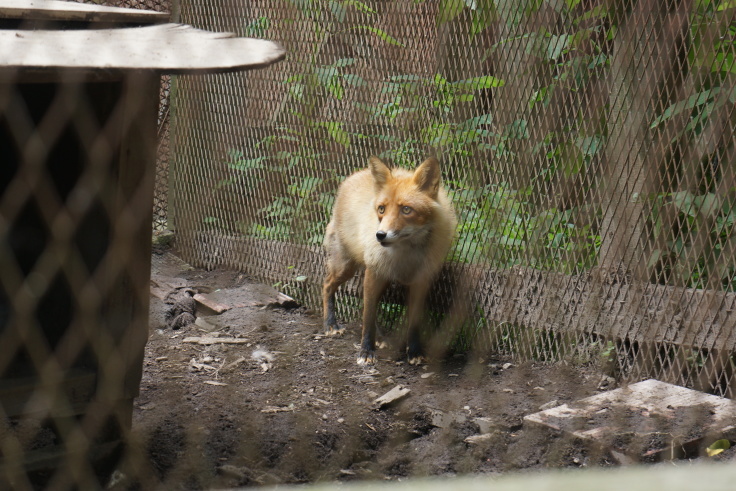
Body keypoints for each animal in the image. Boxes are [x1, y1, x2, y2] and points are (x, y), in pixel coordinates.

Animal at [324, 157, 458, 366]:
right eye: (382, 209)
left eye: (406, 209)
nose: (380, 235)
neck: (406, 253)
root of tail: (354, 175)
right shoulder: (374, 272)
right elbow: (368, 317)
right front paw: (366, 351)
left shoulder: (421, 280)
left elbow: (414, 321)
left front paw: (415, 351)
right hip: (346, 267)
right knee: (328, 285)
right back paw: (331, 324)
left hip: (380, 276)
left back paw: (379, 338)